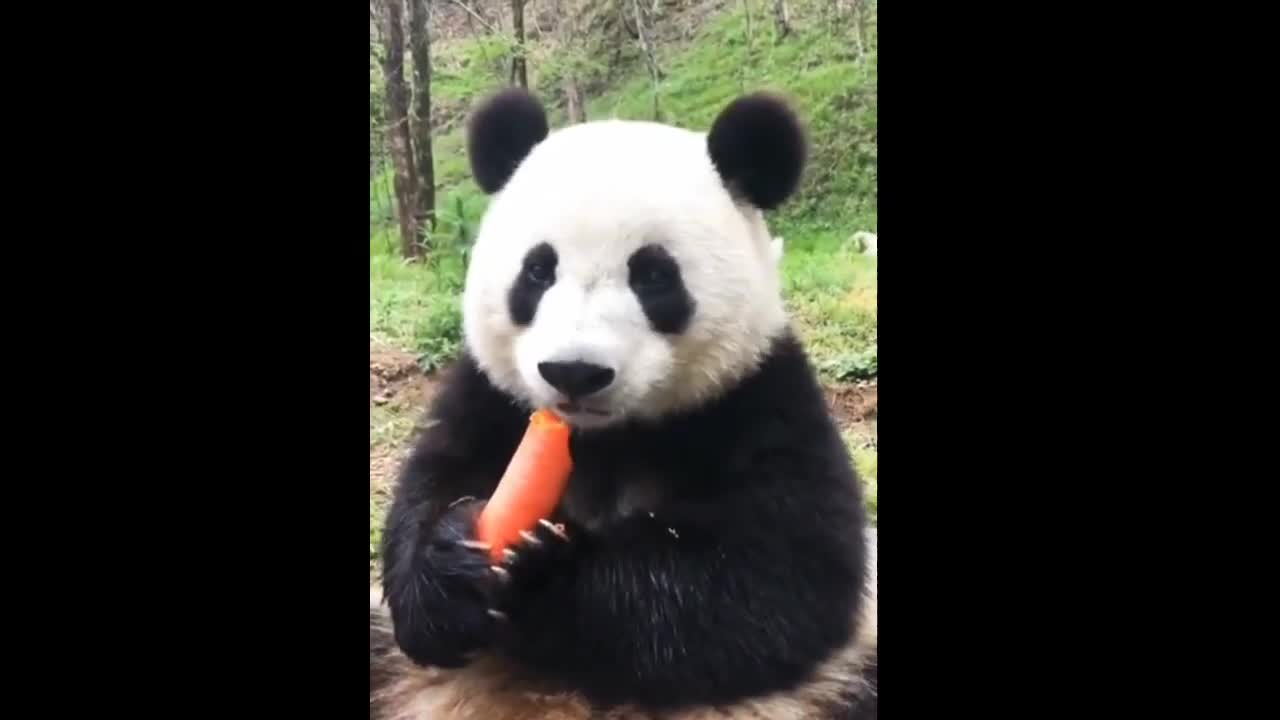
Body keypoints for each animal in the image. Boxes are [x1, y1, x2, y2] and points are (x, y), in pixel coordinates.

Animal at [366, 88, 875, 717]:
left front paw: (544, 575)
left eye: (654, 275)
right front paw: (452, 566)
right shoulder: (492, 397)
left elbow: (779, 573)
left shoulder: (760, 400)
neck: (603, 438)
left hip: (834, 681)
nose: (574, 372)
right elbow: (431, 484)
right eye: (538, 270)